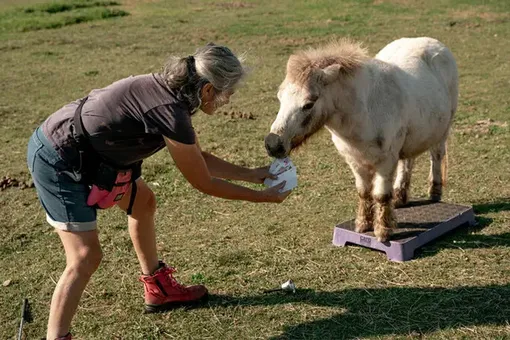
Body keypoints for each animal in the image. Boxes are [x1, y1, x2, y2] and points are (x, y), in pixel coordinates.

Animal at [266, 37, 458, 242]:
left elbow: (381, 195)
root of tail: (432, 42)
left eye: (309, 104)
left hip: (442, 131)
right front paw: (363, 224)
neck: (363, 110)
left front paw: (383, 231)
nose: (272, 144)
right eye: (279, 97)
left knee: (436, 156)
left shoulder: (385, 161)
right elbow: (364, 192)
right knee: (407, 161)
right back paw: (400, 196)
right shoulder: (355, 161)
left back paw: (435, 192)